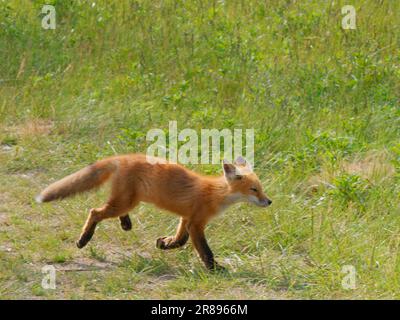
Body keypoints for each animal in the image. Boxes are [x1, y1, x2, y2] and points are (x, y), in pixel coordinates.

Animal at [36, 154, 272, 272]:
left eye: (261, 189)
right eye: (254, 190)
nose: (269, 201)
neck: (215, 193)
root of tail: (124, 157)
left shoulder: (186, 218)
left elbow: (180, 239)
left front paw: (164, 244)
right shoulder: (197, 223)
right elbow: (205, 251)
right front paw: (215, 269)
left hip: (128, 201)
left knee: (112, 211)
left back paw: (126, 224)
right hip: (124, 202)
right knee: (95, 211)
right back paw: (84, 239)